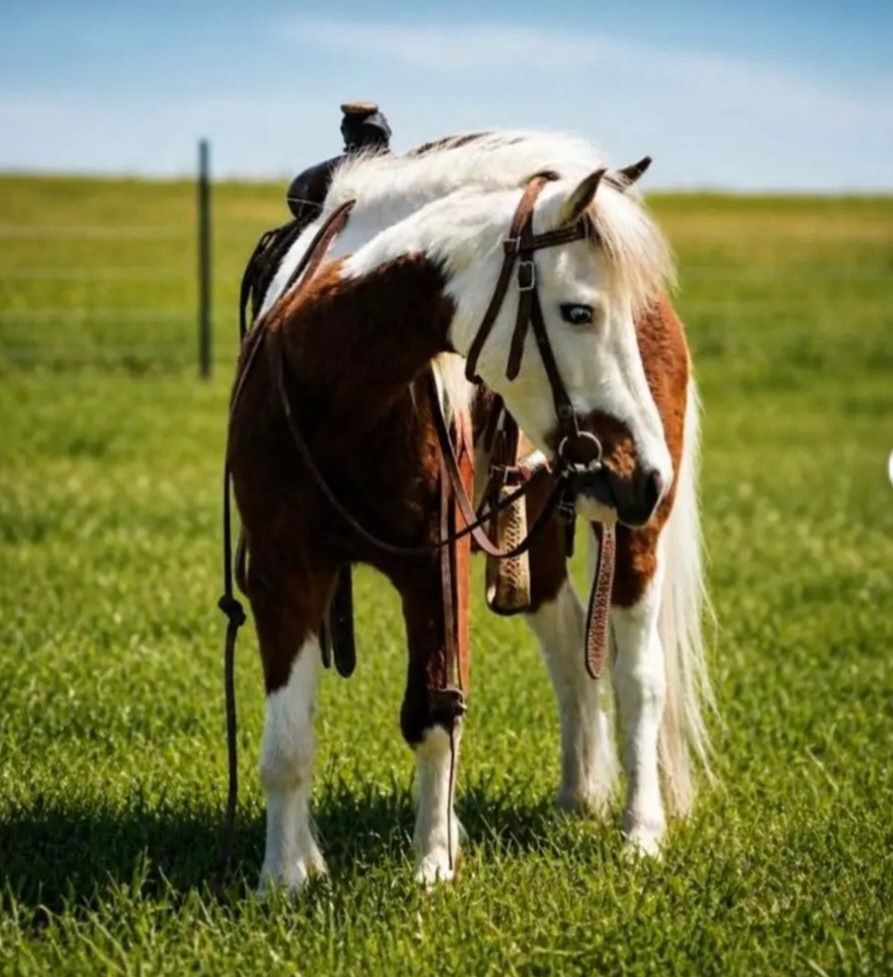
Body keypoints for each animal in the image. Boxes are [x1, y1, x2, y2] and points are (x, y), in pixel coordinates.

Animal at [226, 131, 712, 892]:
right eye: (578, 311)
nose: (650, 475)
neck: (333, 385)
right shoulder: (284, 574)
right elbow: (287, 740)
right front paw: (285, 876)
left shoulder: (434, 566)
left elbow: (434, 714)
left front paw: (433, 864)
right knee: (569, 650)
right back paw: (579, 795)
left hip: (633, 538)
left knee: (638, 678)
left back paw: (640, 830)